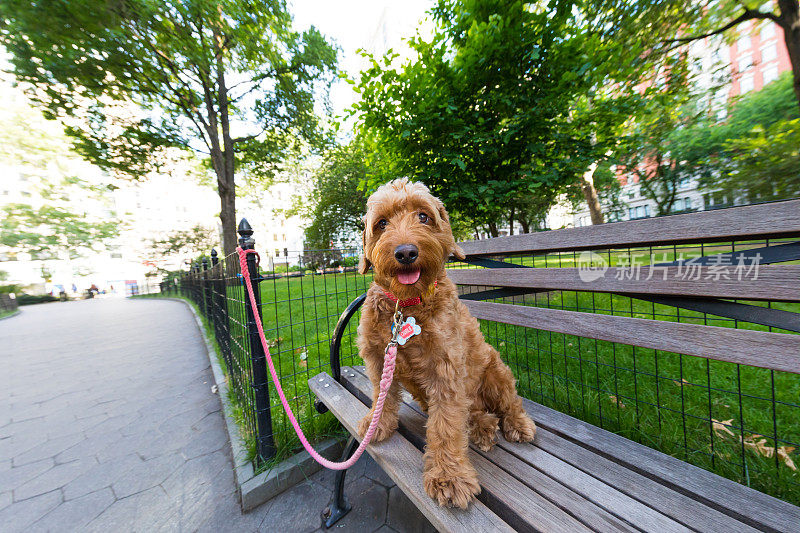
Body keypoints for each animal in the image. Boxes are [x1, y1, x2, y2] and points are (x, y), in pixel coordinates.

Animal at [356, 178, 536, 508]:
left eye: (424, 216)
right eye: (382, 223)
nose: (406, 253)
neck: (406, 305)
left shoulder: (445, 370)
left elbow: (446, 426)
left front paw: (449, 478)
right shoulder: (378, 359)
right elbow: (381, 397)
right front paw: (378, 425)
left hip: (496, 372)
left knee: (509, 403)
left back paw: (517, 425)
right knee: (474, 413)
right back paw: (483, 428)